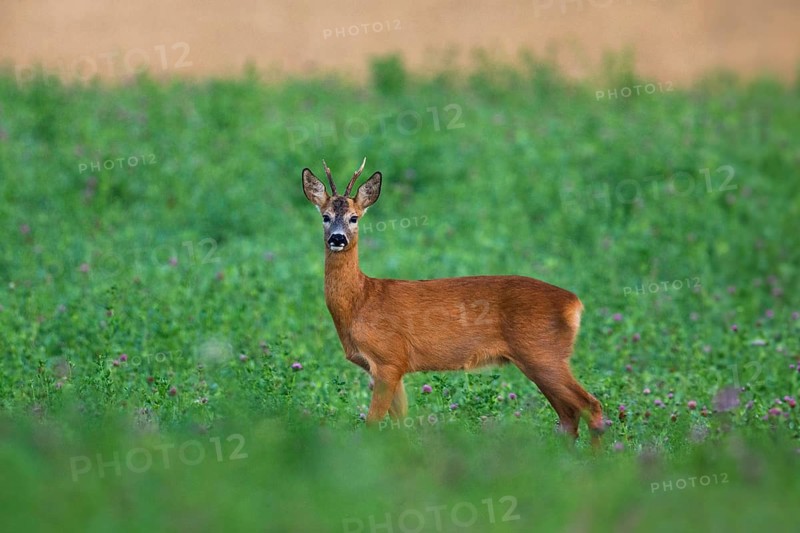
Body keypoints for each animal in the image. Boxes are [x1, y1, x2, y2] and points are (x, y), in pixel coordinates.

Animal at [302, 158, 605, 443]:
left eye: (354, 218)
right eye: (325, 216)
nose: (337, 238)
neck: (360, 301)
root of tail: (574, 302)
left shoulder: (389, 359)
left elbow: (373, 424)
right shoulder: (392, 366)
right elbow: (401, 423)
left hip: (543, 354)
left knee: (590, 406)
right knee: (569, 416)